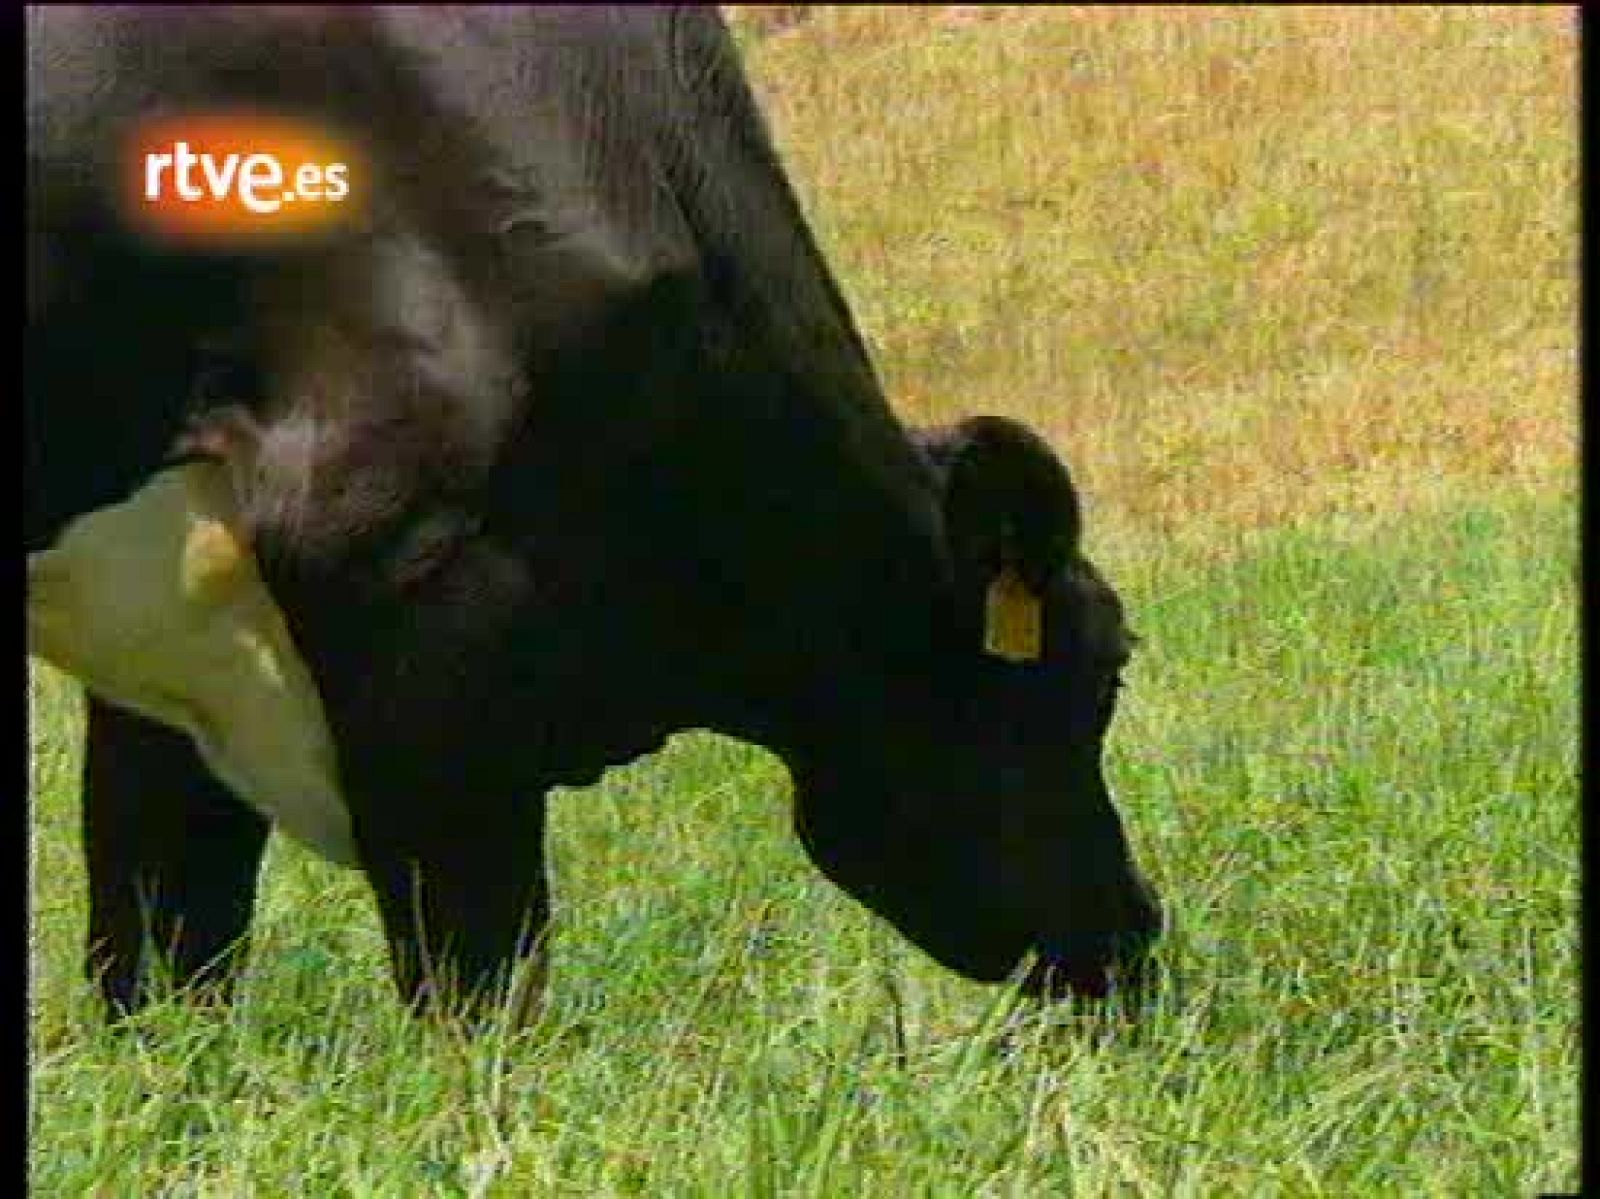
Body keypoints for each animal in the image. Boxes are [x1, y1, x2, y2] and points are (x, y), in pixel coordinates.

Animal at [26, 6, 1162, 1024]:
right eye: (1104, 668)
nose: (1136, 934)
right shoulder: (414, 576)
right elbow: (479, 981)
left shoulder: (172, 615)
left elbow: (161, 948)